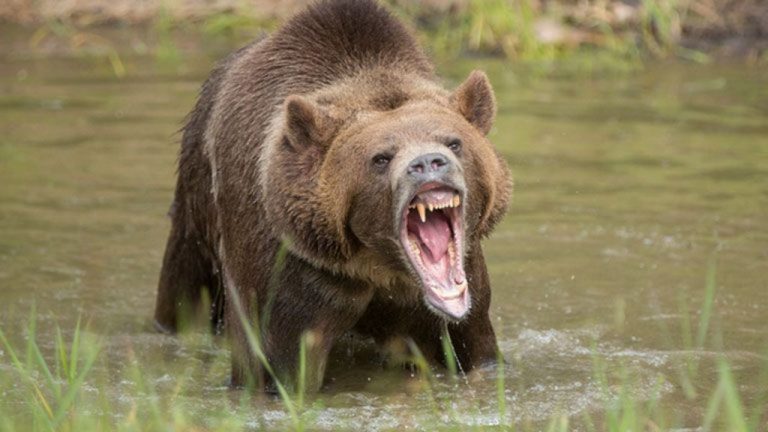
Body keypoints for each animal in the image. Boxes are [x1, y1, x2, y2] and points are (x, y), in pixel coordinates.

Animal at [152, 0, 510, 392]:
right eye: (381, 157)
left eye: (453, 142)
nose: (428, 163)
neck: (379, 264)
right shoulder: (294, 270)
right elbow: (277, 362)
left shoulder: (460, 288)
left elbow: (474, 346)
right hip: (198, 202)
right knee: (186, 286)